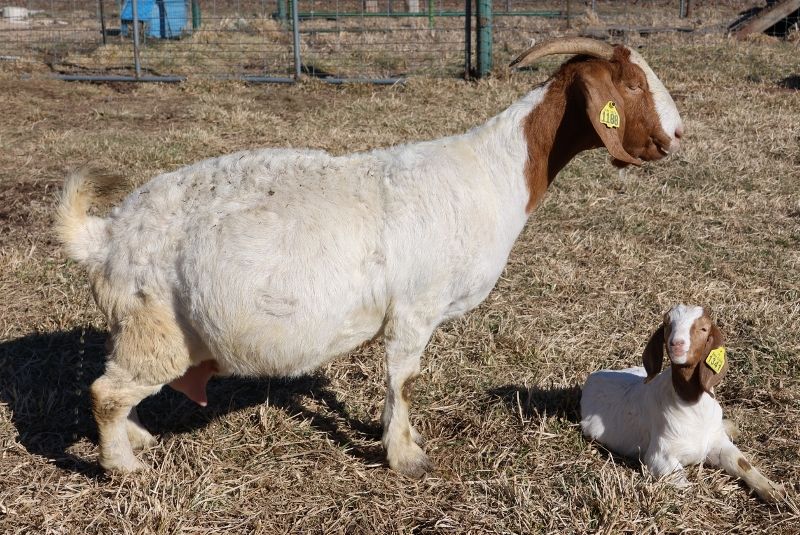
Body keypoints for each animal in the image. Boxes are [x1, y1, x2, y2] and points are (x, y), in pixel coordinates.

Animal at [57, 37, 680, 476]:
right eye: (630, 84)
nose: (676, 135)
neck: (493, 171)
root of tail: (105, 234)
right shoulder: (416, 307)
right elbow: (403, 379)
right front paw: (406, 457)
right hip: (157, 325)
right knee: (106, 393)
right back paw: (124, 467)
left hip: (140, 328)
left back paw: (136, 439)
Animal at [580, 306, 788, 502]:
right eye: (667, 324)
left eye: (704, 328)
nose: (676, 344)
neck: (691, 404)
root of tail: (593, 377)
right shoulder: (661, 458)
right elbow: (686, 487)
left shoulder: (717, 442)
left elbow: (741, 463)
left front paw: (774, 491)